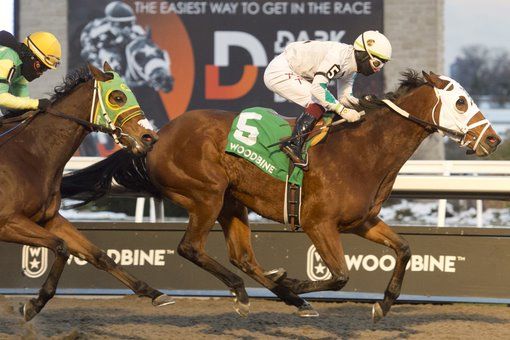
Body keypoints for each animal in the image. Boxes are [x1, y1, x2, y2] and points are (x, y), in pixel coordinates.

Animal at [0, 63, 173, 322]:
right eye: (117, 97)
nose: (150, 137)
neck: (31, 155)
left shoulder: (48, 219)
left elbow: (99, 255)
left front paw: (154, 293)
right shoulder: (8, 222)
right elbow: (61, 247)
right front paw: (34, 304)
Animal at [61, 71, 500, 322]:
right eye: (461, 102)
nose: (494, 140)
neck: (364, 149)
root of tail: (154, 136)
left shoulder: (361, 222)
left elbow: (406, 249)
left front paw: (383, 304)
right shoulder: (318, 223)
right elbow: (340, 276)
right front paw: (292, 282)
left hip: (233, 202)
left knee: (242, 256)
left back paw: (280, 296)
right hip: (207, 195)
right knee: (190, 248)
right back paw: (263, 292)